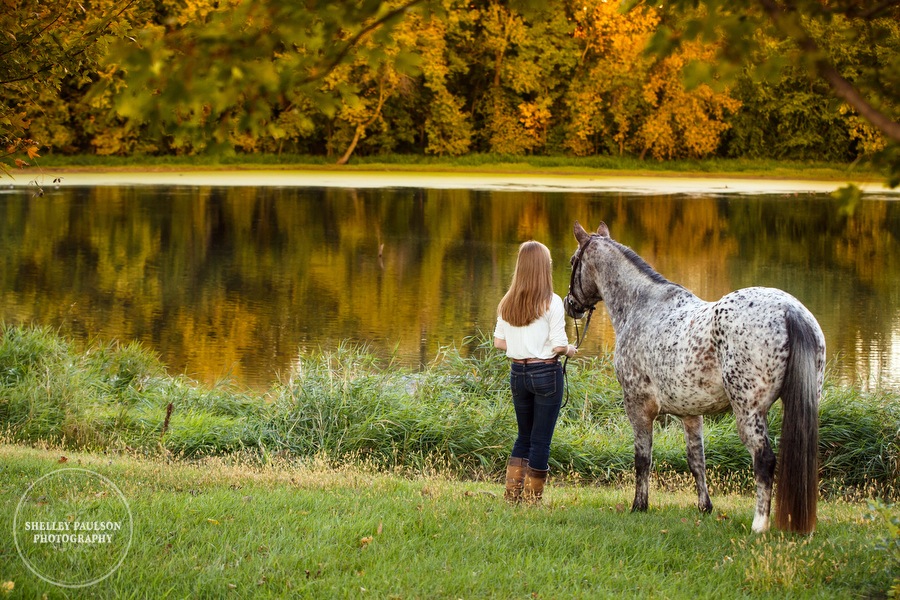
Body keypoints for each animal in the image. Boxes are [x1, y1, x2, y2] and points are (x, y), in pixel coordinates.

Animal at [568, 221, 828, 536]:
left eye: (572, 262)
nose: (571, 305)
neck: (642, 307)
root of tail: (789, 310)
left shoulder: (637, 406)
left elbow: (643, 458)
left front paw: (639, 505)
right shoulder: (691, 413)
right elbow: (696, 460)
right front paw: (705, 507)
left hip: (749, 412)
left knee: (763, 460)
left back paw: (759, 524)